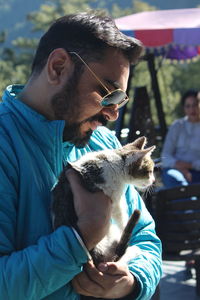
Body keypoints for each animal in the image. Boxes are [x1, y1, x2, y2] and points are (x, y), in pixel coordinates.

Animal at [51, 135, 155, 268]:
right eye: (149, 172)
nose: (153, 180)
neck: (116, 161)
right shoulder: (114, 199)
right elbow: (122, 216)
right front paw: (124, 225)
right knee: (118, 257)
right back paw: (134, 250)